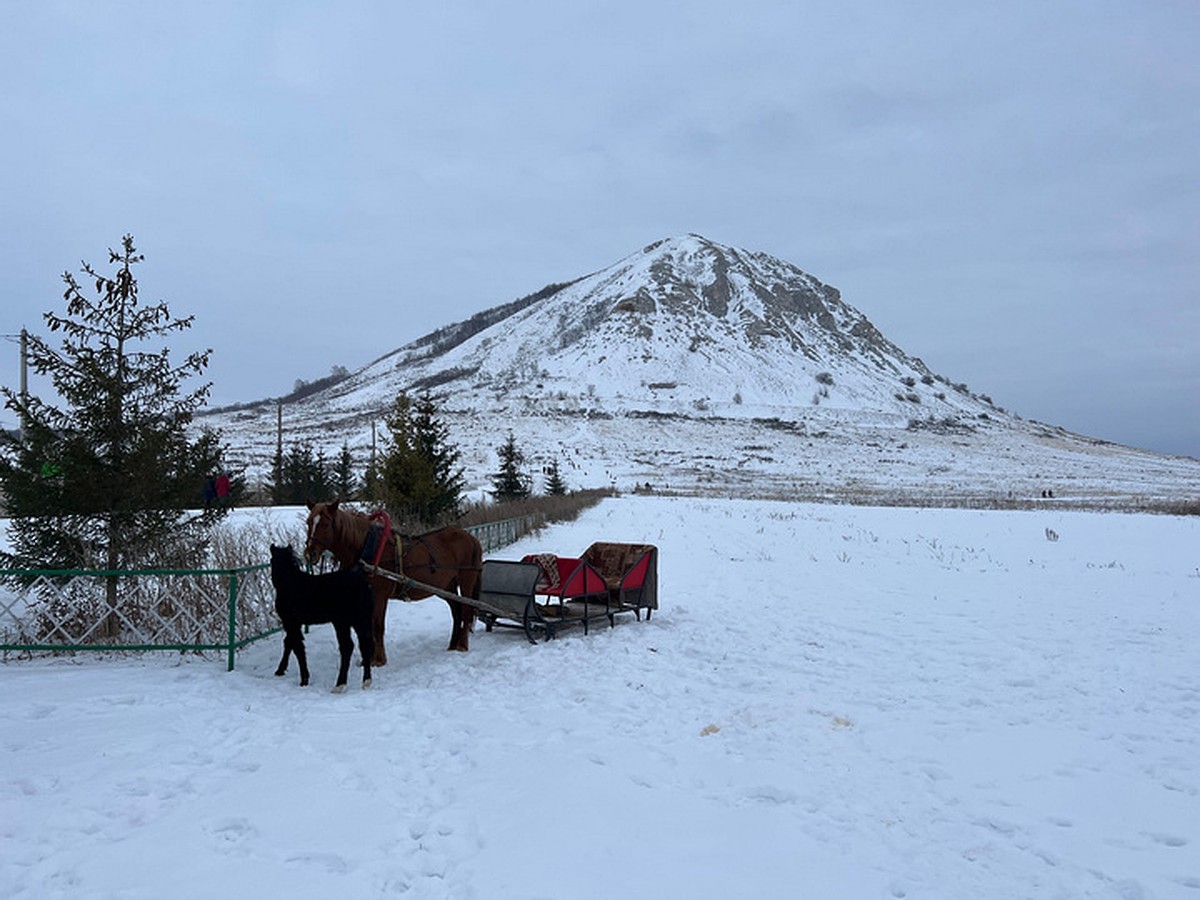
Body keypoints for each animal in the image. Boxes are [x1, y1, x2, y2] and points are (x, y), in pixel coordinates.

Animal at [304, 504, 482, 667]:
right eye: (308, 522)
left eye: (326, 524)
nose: (309, 553)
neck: (368, 548)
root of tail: (471, 538)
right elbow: (369, 627)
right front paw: (367, 658)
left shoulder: (379, 596)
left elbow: (377, 626)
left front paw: (378, 659)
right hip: (445, 586)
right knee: (457, 611)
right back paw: (452, 644)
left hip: (466, 579)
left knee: (466, 611)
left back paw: (462, 645)